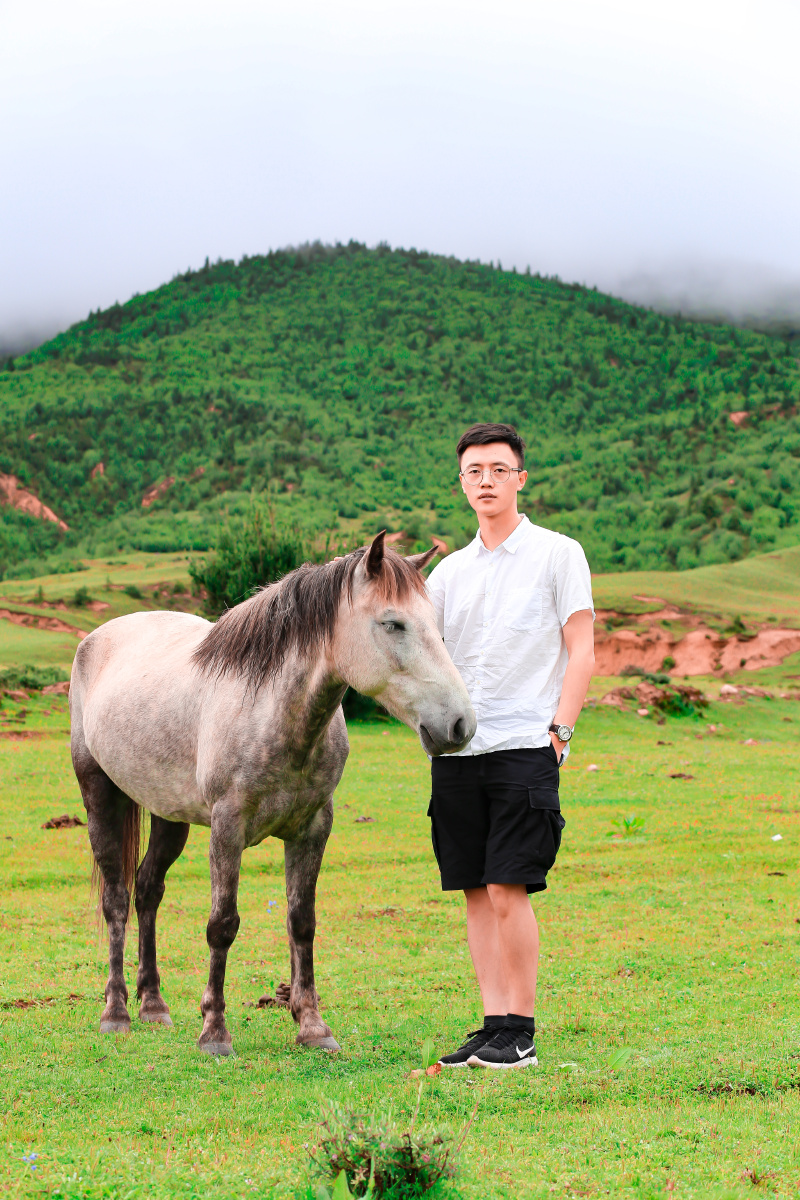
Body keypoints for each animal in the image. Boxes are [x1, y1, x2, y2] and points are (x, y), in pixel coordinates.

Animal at [69, 533, 475, 1054]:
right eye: (392, 624)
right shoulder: (227, 829)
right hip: (99, 794)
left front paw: (313, 1027)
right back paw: (116, 1011)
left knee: (148, 891)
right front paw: (214, 1031)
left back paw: (154, 1005)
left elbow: (302, 921)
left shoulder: (312, 829)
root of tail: (97, 638)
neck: (271, 710)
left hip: (168, 814)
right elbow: (222, 925)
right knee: (117, 899)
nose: (460, 724)